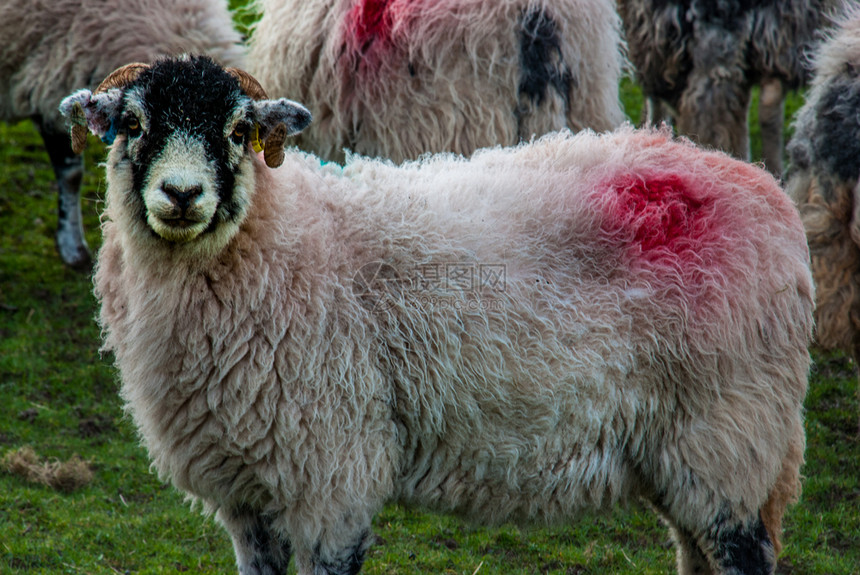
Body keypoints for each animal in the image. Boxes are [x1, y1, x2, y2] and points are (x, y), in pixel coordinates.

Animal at [60, 55, 812, 575]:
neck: (286, 237)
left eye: (239, 130)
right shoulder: (247, 493)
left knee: (741, 549)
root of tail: (764, 191)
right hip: (683, 448)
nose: (181, 194)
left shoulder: (334, 470)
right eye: (132, 125)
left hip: (731, 433)